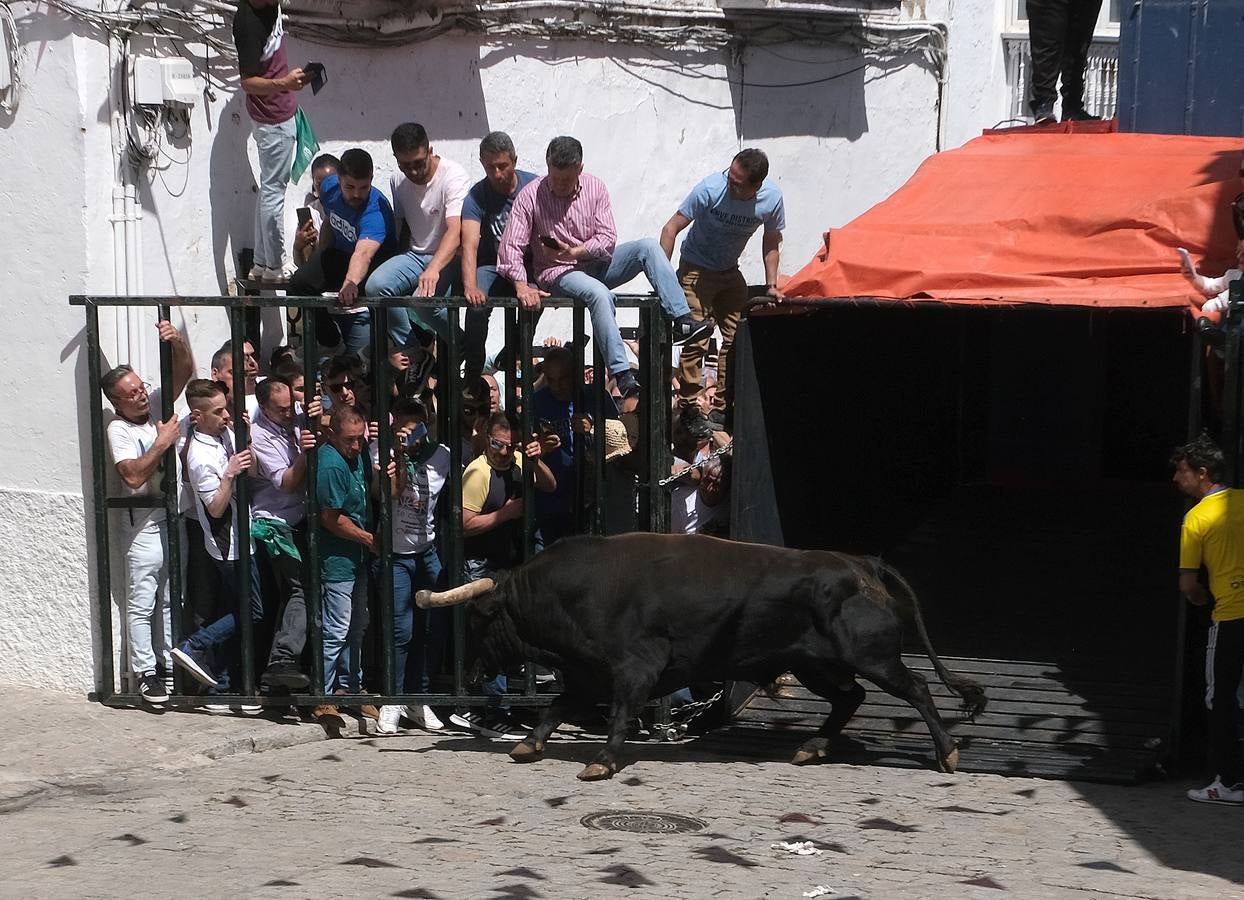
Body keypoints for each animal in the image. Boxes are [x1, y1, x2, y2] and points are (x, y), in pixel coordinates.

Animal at [417, 535, 980, 781]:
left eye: (478, 619)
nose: (470, 674)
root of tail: (860, 564)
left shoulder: (632, 669)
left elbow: (617, 715)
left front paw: (602, 761)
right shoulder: (588, 673)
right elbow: (556, 707)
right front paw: (529, 745)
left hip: (872, 656)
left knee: (917, 689)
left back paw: (948, 752)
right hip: (813, 664)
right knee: (850, 699)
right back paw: (811, 748)